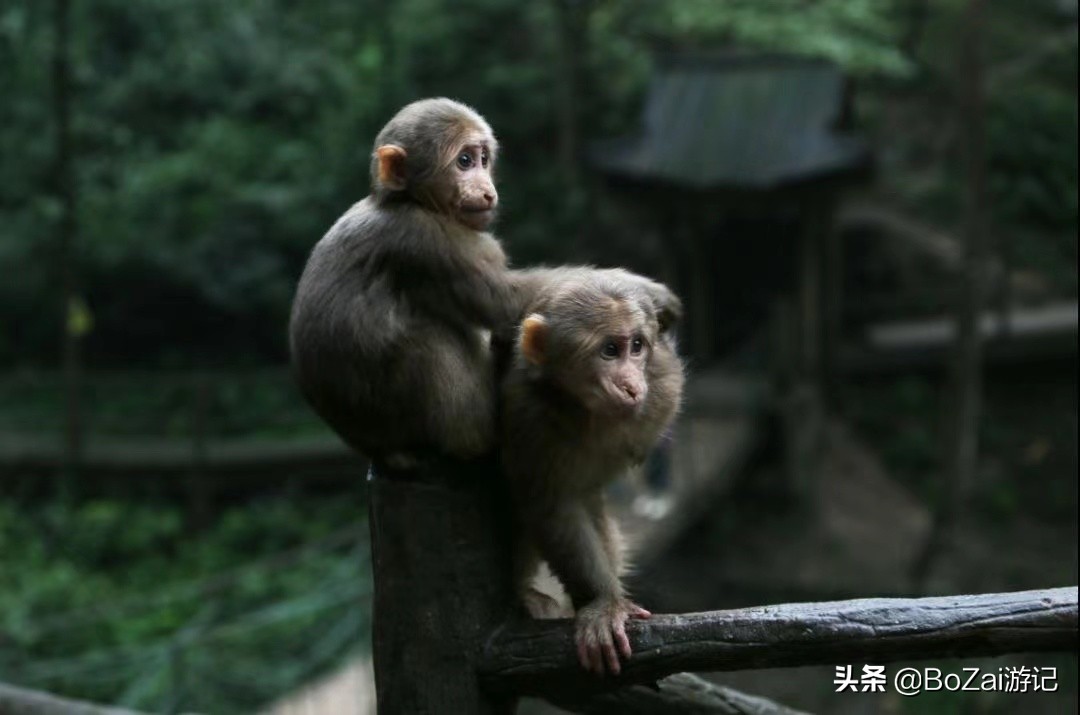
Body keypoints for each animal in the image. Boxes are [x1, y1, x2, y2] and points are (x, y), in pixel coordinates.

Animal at [291, 98, 518, 468]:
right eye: (464, 161)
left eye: (483, 159)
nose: (487, 190)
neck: (407, 201)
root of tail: (379, 450)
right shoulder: (425, 239)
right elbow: (503, 303)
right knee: (432, 337)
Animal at [503, 270, 686, 678]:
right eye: (609, 351)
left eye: (637, 346)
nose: (632, 385)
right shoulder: (526, 413)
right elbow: (554, 505)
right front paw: (603, 603)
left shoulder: (663, 387)